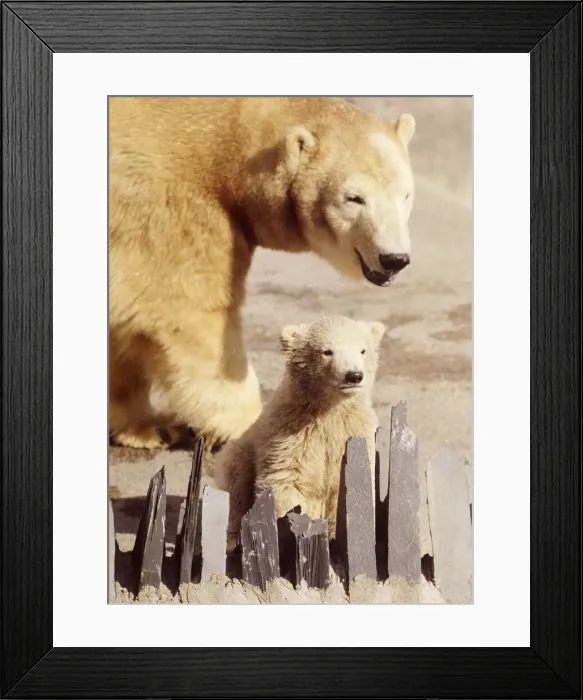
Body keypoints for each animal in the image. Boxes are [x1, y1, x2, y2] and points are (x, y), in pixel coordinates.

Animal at [108, 97, 414, 451]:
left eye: (406, 194)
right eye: (354, 198)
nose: (394, 259)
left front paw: (146, 428)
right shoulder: (173, 205)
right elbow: (194, 314)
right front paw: (245, 425)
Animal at [213, 314, 386, 547]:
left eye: (362, 350)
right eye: (327, 351)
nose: (353, 375)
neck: (328, 410)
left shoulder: (355, 431)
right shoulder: (289, 434)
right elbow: (287, 481)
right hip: (239, 454)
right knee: (235, 488)